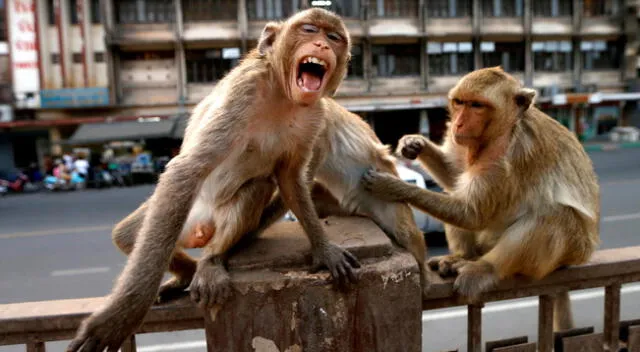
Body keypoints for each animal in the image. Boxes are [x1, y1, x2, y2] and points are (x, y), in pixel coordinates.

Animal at [68, 8, 364, 352]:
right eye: (308, 29)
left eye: (334, 37)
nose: (321, 44)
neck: (283, 94)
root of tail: (201, 227)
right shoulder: (244, 91)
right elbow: (187, 169)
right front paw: (122, 314)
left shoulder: (315, 115)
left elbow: (290, 179)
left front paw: (324, 249)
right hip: (179, 214)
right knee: (129, 234)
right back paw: (187, 271)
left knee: (257, 188)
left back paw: (209, 260)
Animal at [364, 66, 600, 330]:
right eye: (459, 102)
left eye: (477, 105)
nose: (458, 123)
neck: (504, 130)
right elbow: (456, 179)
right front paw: (415, 143)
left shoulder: (506, 156)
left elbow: (472, 213)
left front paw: (391, 187)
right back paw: (462, 257)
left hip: (571, 252)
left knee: (554, 215)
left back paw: (485, 268)